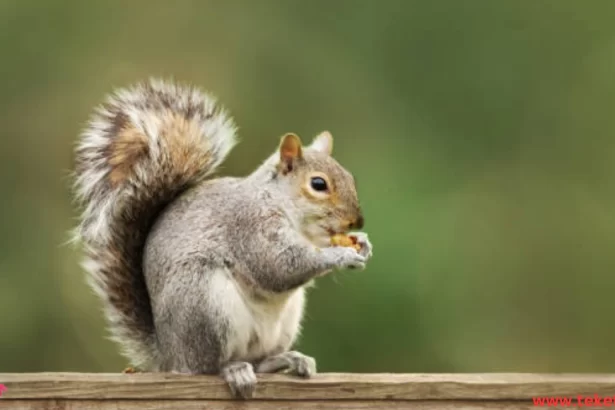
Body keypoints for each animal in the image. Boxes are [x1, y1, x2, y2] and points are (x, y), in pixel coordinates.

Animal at [70, 78, 372, 398]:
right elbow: (278, 266)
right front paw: (340, 255)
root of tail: (169, 355)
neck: (285, 207)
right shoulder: (249, 226)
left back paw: (286, 360)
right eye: (318, 184)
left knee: (259, 361)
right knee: (207, 366)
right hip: (204, 303)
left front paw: (362, 242)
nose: (357, 221)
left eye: (349, 177)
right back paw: (233, 370)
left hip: (282, 321)